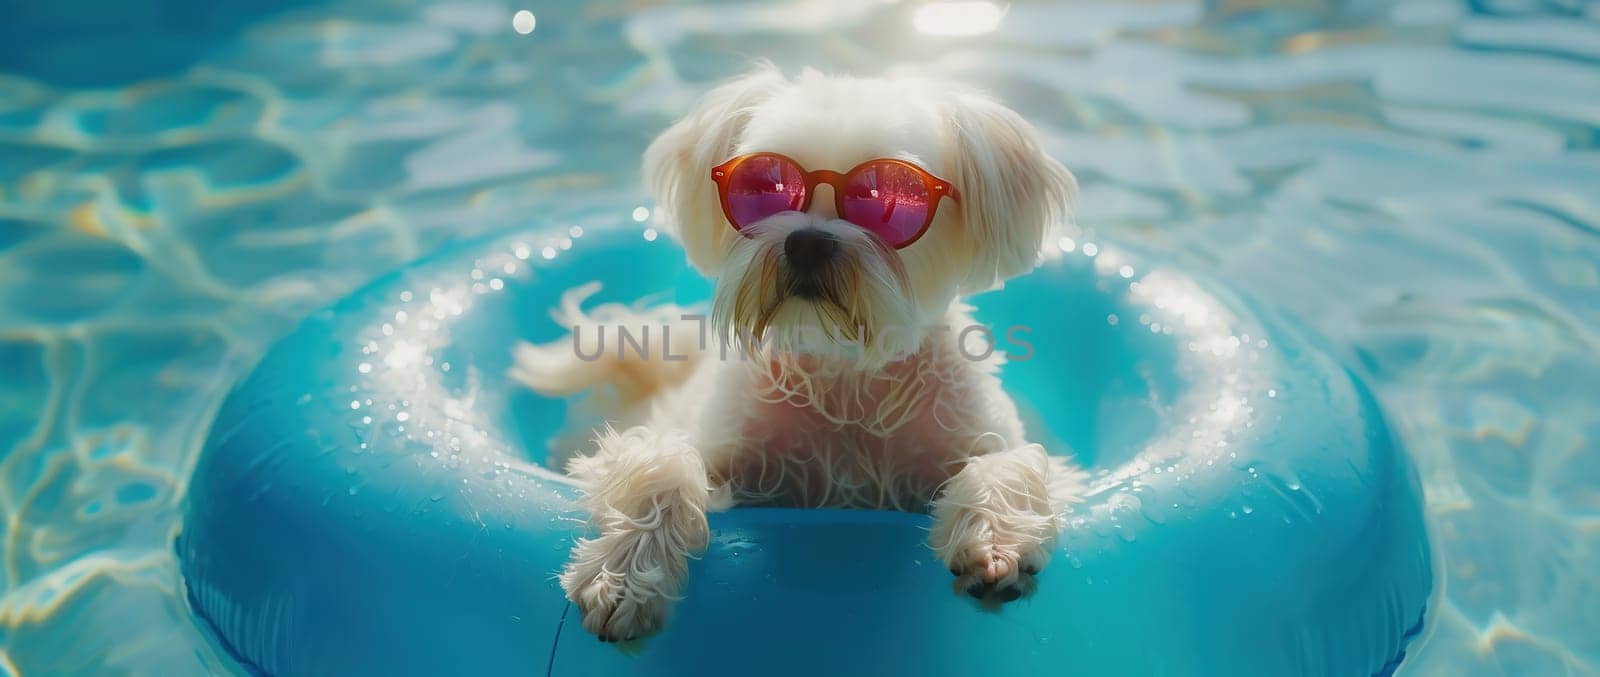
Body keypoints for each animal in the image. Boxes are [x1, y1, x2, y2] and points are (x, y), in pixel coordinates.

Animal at [512, 66, 1088, 643]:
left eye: (891, 199)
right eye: (765, 187)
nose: (807, 242)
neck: (844, 374)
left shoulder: (998, 442)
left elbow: (1010, 464)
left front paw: (996, 539)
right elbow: (662, 462)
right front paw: (629, 571)